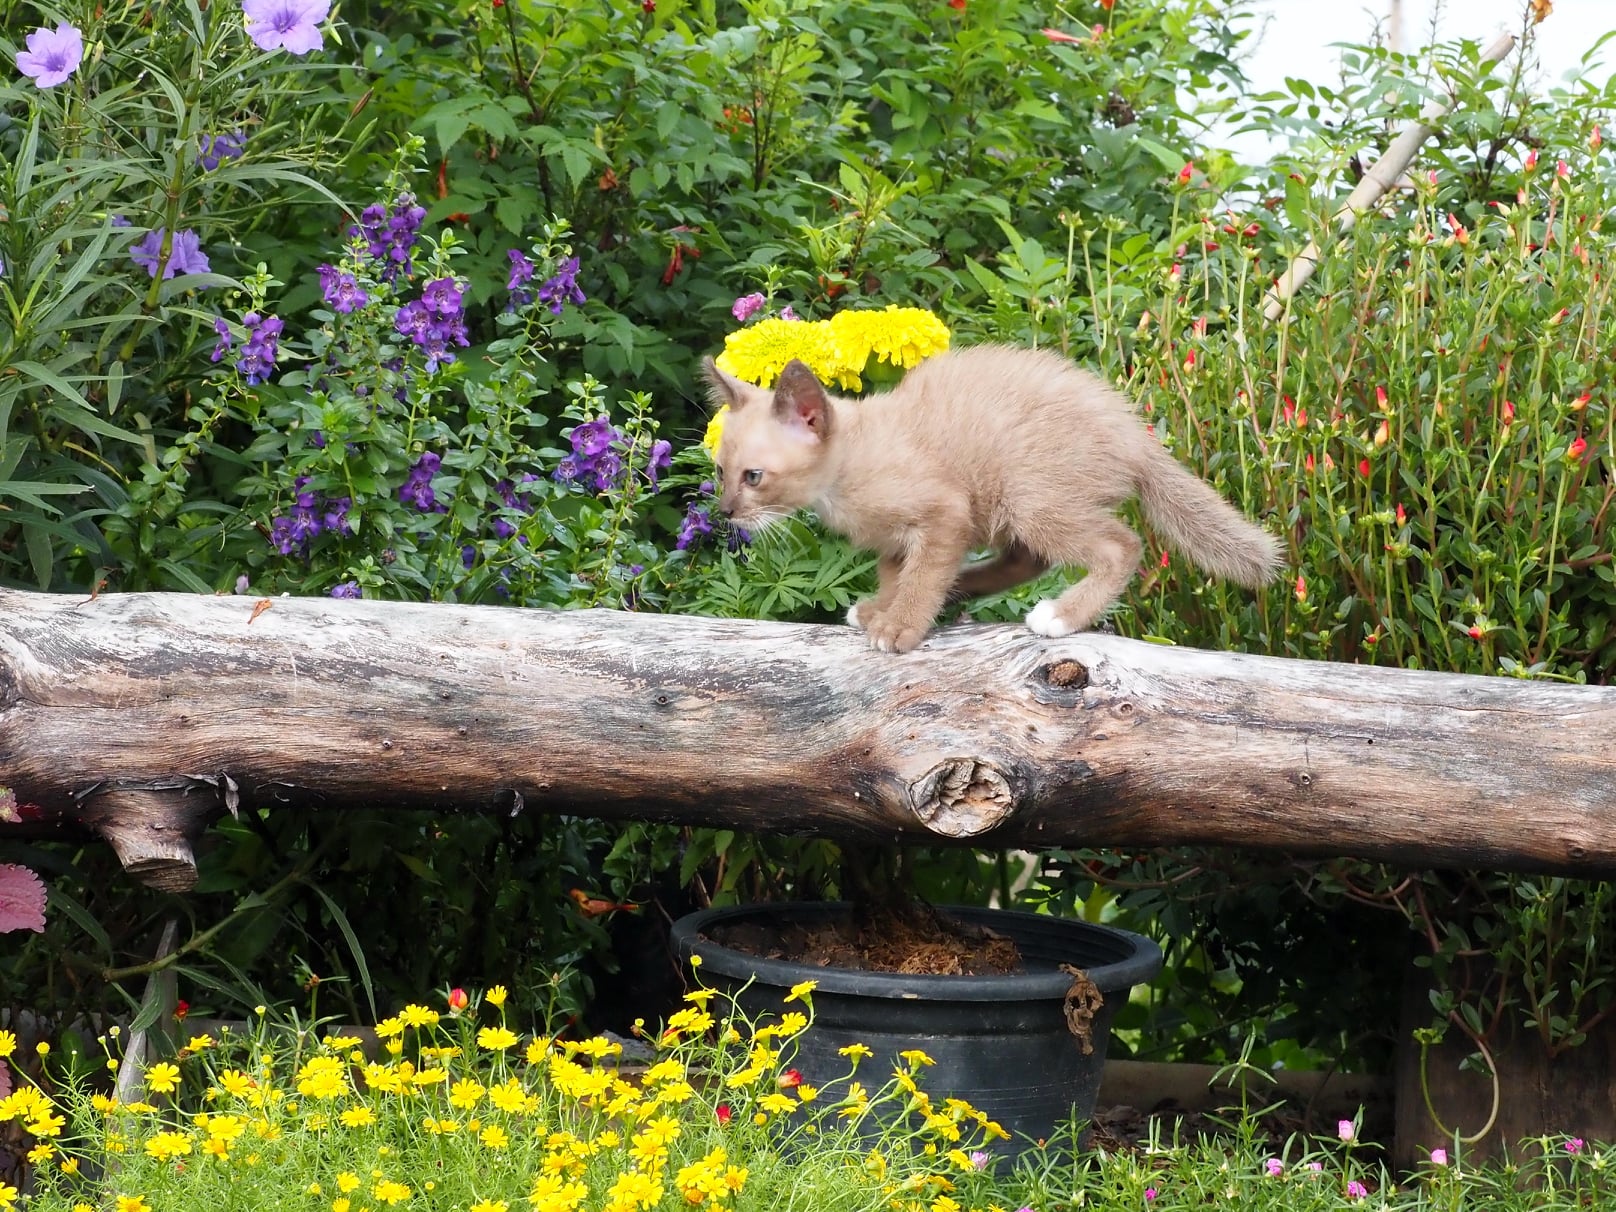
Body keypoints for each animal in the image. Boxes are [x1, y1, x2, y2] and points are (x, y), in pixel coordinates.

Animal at [702, 344, 1281, 654]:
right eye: (721, 472)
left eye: (754, 477)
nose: (725, 512)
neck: (848, 465)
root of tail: (1134, 434)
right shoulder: (897, 540)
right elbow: (898, 573)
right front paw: (880, 608)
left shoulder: (944, 513)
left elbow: (921, 576)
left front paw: (899, 626)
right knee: (1028, 560)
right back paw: (964, 587)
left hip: (1031, 493)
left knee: (1120, 545)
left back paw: (1060, 615)